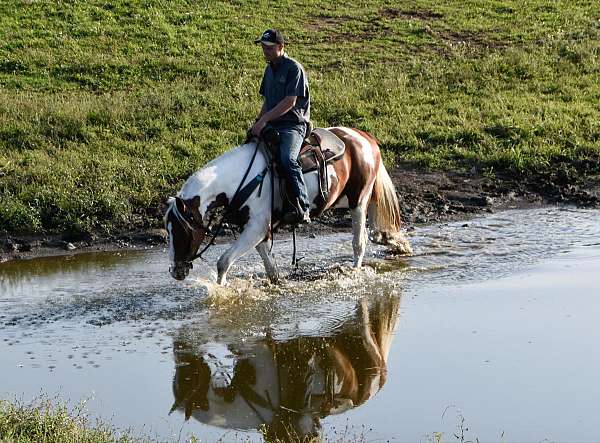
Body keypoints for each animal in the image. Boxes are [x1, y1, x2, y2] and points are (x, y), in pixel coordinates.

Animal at [164, 126, 412, 284]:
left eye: (182, 231)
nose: (175, 271)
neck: (242, 180)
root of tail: (365, 138)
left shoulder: (256, 227)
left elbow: (223, 262)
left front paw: (221, 292)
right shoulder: (258, 229)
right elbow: (269, 265)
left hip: (358, 201)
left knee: (359, 242)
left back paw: (355, 270)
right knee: (376, 228)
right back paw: (391, 241)